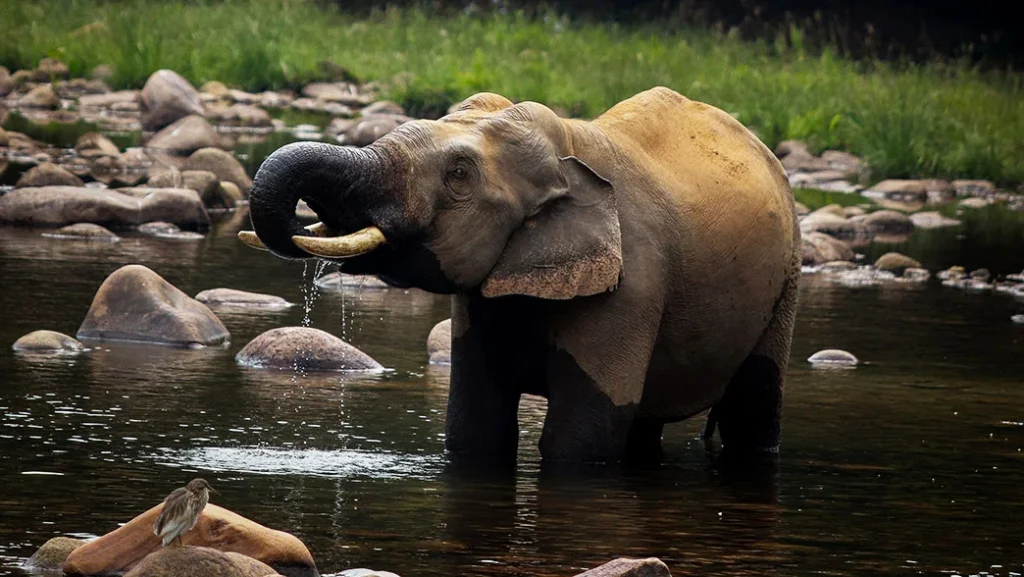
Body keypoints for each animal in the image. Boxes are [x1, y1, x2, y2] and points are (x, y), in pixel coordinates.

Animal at [240, 87, 800, 463]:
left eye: (459, 175)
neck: (568, 149)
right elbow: (475, 426)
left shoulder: (633, 282)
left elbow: (579, 438)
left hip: (786, 277)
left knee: (752, 407)